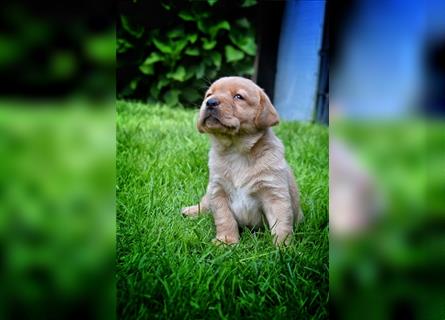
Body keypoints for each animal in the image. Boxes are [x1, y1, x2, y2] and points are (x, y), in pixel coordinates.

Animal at [180, 75, 302, 245]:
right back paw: (191, 211)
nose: (210, 102)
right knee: (205, 202)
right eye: (209, 94)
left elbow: (281, 224)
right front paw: (226, 241)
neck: (236, 150)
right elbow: (225, 219)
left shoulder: (275, 194)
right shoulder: (218, 191)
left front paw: (283, 247)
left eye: (238, 97)